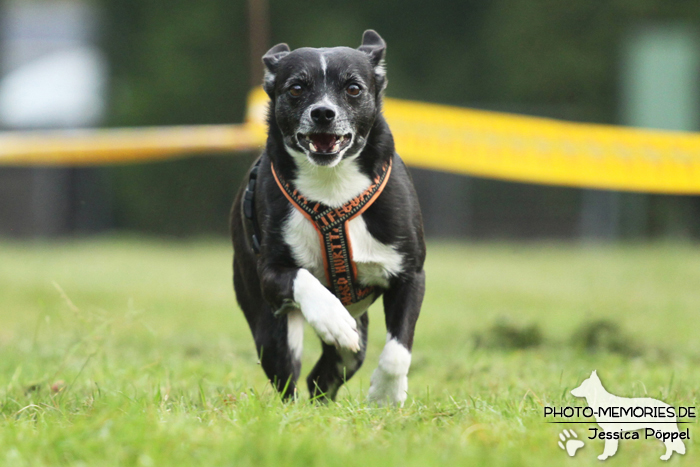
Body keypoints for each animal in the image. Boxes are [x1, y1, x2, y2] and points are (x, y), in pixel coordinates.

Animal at [232, 31, 424, 408]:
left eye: (353, 88)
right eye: (295, 87)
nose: (323, 112)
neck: (332, 185)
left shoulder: (411, 273)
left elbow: (398, 350)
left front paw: (385, 395)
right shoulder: (269, 274)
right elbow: (303, 278)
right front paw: (333, 319)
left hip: (353, 349)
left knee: (329, 370)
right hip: (269, 326)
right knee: (289, 375)